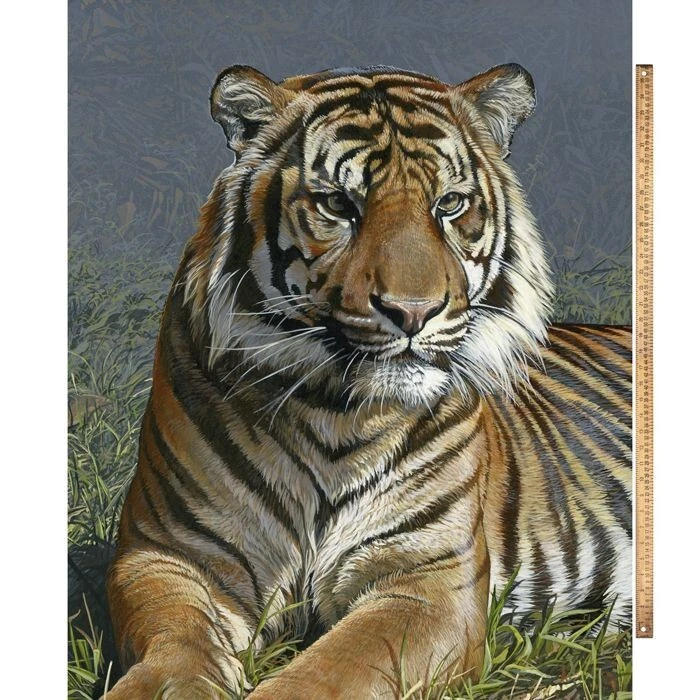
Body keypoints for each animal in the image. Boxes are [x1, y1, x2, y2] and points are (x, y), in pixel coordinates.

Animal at [106, 63, 631, 699]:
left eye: (450, 204)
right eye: (339, 203)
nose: (413, 312)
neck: (333, 413)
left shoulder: (428, 579)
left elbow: (328, 673)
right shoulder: (172, 554)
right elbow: (175, 654)